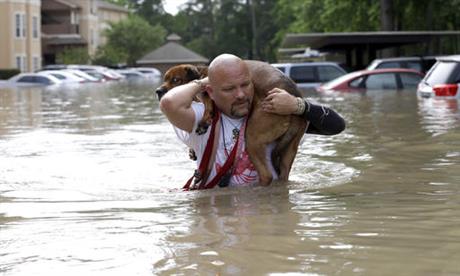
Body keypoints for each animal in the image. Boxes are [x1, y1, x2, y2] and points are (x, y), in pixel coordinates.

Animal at [155, 60, 310, 185]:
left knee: (266, 175)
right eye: (165, 79)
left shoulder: (206, 93)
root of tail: (293, 98)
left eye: (176, 80)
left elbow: (208, 102)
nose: (158, 91)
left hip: (252, 138)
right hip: (290, 149)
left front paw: (205, 121)